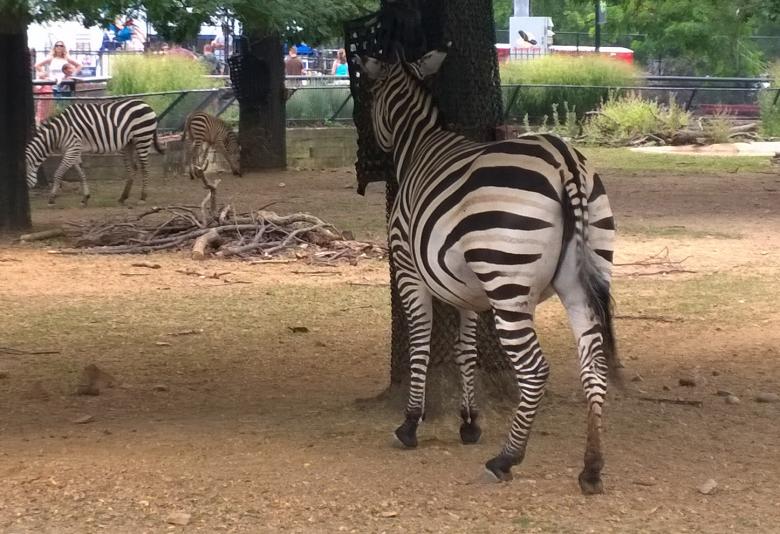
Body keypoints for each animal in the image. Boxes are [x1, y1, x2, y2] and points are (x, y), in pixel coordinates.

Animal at [26, 98, 164, 206]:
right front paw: (85, 198)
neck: (58, 133)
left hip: (143, 138)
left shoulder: (72, 149)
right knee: (133, 168)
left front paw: (52, 198)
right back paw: (123, 197)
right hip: (129, 144)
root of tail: (145, 104)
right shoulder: (73, 151)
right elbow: (81, 173)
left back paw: (143, 197)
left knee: (145, 168)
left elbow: (58, 173)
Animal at [359, 49, 618, 494]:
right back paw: (591, 468)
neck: (417, 144)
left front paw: (410, 423)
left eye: (371, 97)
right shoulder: (465, 288)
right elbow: (466, 349)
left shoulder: (409, 269)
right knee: (594, 366)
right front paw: (468, 421)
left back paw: (506, 459)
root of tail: (565, 160)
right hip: (582, 279)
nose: (373, 158)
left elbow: (421, 342)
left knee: (535, 370)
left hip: (508, 282)